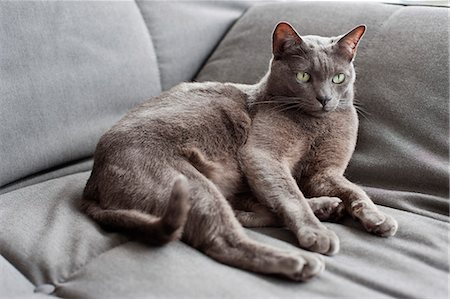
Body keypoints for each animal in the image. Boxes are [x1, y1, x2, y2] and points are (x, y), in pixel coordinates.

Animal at [81, 22, 398, 282]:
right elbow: (292, 195)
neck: (316, 125)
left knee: (248, 212)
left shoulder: (323, 172)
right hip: (192, 185)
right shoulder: (262, 155)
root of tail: (91, 184)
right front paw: (316, 234)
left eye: (338, 79)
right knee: (223, 239)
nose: (324, 99)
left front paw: (377, 218)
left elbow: (355, 190)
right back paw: (299, 260)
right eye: (303, 76)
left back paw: (327, 207)